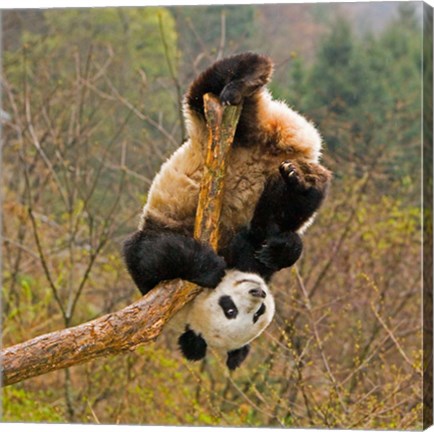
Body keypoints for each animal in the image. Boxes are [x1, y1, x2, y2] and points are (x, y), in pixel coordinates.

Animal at [124, 50, 330, 368]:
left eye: (257, 313)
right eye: (230, 310)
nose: (258, 292)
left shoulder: (249, 255)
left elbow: (269, 237)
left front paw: (278, 249)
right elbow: (151, 253)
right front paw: (208, 266)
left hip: (249, 130)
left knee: (220, 79)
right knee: (205, 91)